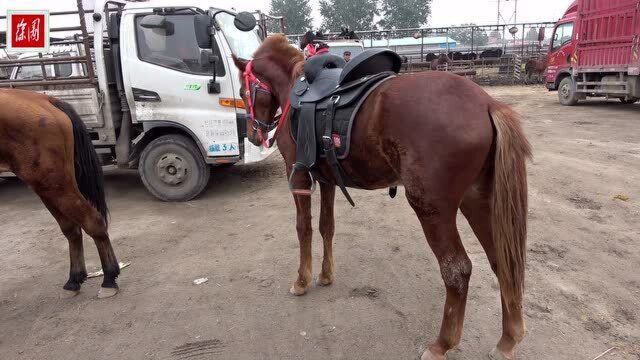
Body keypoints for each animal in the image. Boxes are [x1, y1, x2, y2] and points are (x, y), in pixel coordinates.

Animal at [0, 88, 120, 298]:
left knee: (91, 220)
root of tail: (45, 99)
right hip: (49, 185)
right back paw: (74, 279)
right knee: (71, 228)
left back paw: (108, 279)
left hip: (52, 181)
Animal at [232, 34, 532, 360]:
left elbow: (304, 228)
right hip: (477, 200)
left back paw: (442, 343)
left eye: (243, 91)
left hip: (432, 209)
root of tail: (488, 104)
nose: (253, 134)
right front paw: (325, 275)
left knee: (457, 271)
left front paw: (301, 281)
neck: (296, 89)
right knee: (502, 260)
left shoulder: (298, 175)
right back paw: (508, 339)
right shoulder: (326, 180)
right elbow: (327, 226)